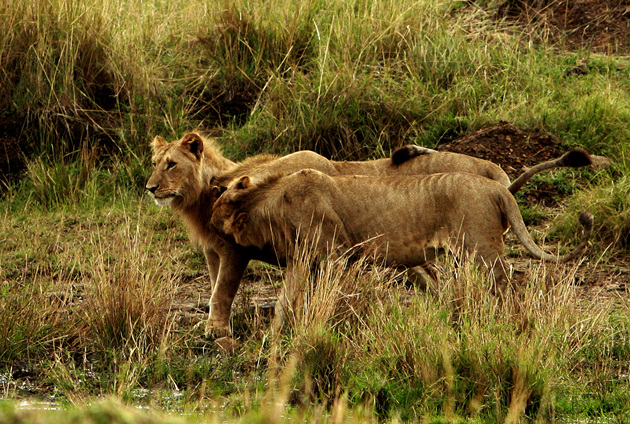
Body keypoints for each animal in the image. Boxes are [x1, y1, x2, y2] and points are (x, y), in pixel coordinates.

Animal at [212, 171, 596, 330]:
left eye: (217, 225)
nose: (214, 237)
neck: (270, 204)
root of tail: (497, 189)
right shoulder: (302, 260)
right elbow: (284, 302)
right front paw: (276, 337)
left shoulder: (335, 255)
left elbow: (327, 297)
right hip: (469, 254)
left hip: (481, 249)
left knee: (508, 285)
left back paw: (512, 324)